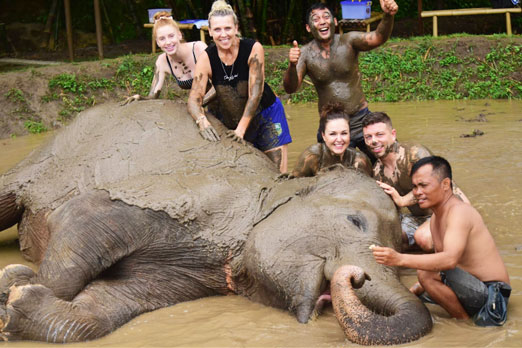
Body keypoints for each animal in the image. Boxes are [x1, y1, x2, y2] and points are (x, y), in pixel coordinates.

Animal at [0, 100, 430, 346]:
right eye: (355, 221)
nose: (355, 277)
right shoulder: (186, 194)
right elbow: (82, 215)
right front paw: (15, 282)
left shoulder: (191, 275)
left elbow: (110, 302)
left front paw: (19, 300)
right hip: (44, 161)